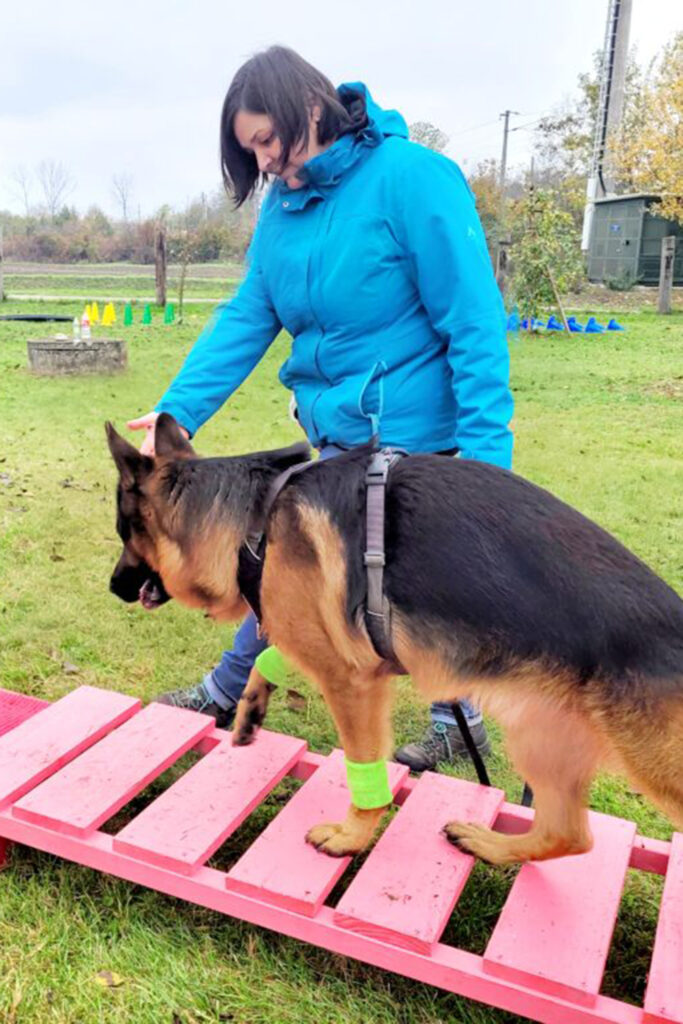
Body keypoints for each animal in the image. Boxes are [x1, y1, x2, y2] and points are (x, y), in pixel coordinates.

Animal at [107, 415, 683, 864]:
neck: (254, 516)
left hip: (646, 765)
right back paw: (489, 843)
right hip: (539, 738)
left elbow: (365, 769)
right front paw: (250, 705)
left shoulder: (354, 682)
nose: (114, 587)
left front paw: (350, 837)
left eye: (123, 532)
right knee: (570, 835)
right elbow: (271, 647)